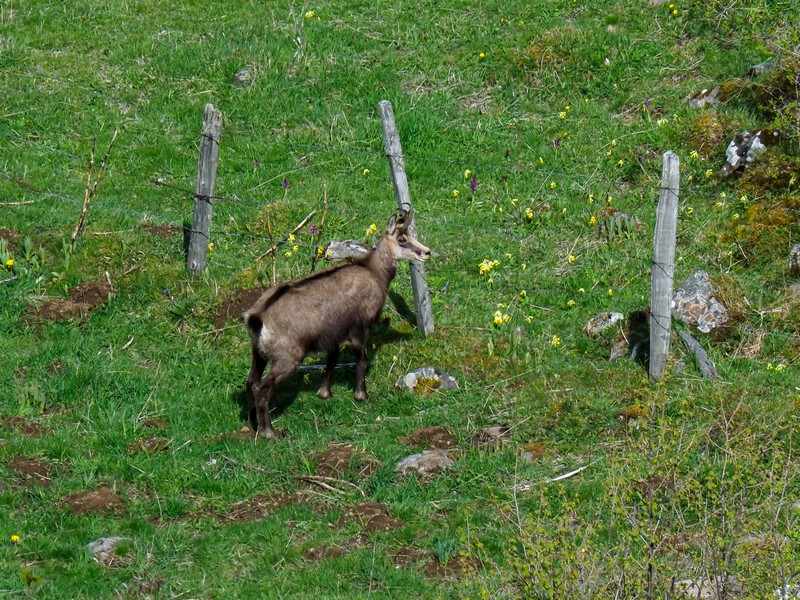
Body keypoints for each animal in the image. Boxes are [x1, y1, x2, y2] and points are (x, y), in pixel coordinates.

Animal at [243, 209, 431, 439]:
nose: (426, 252)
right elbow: (362, 360)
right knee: (262, 389)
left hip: (258, 353)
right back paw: (269, 432)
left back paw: (252, 420)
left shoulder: (332, 335)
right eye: (402, 239)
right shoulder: (359, 328)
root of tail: (257, 318)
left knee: (251, 382)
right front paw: (362, 395)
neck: (373, 272)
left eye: (410, 235)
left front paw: (324, 393)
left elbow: (332, 361)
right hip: (287, 357)